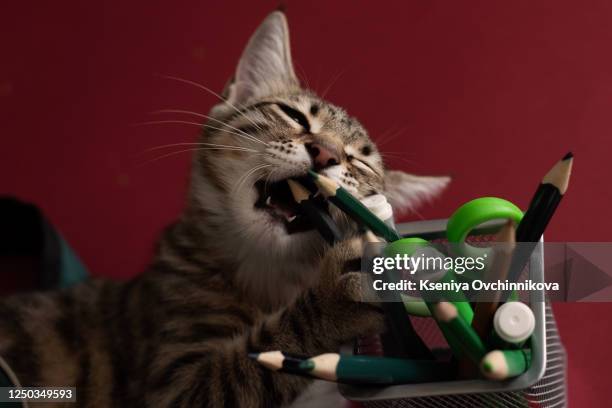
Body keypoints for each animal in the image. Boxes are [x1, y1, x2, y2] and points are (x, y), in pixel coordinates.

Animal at [0, 11, 450, 406]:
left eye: (359, 162)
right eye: (294, 115)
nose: (326, 153)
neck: (269, 279)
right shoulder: (173, 384)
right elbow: (246, 368)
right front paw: (335, 297)